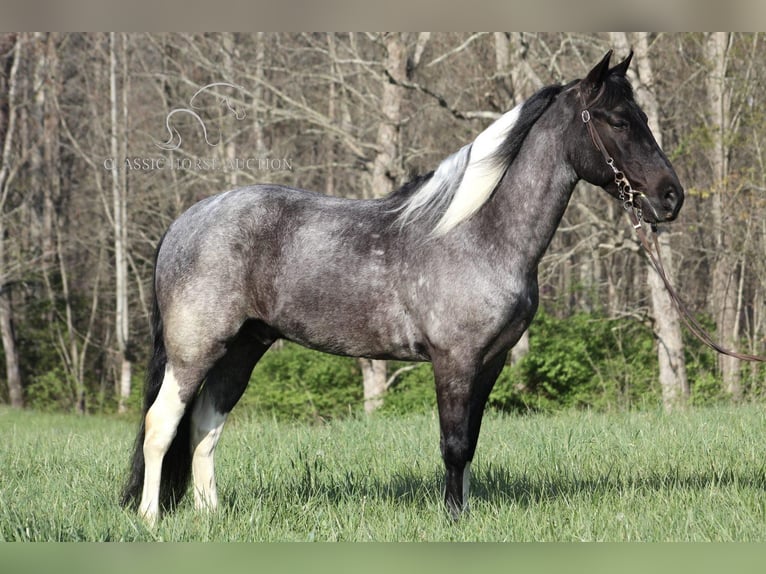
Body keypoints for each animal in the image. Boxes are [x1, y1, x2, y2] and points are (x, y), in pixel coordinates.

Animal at [123, 51, 688, 528]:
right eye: (618, 122)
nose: (671, 197)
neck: (478, 232)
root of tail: (184, 223)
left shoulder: (489, 363)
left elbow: (470, 443)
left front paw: (462, 512)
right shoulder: (454, 360)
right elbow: (453, 444)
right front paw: (453, 521)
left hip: (242, 349)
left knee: (204, 426)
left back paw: (210, 516)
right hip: (196, 352)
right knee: (161, 425)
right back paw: (150, 519)